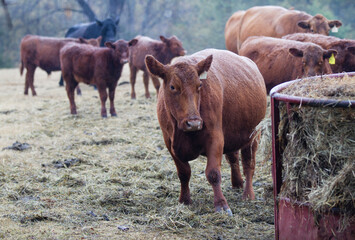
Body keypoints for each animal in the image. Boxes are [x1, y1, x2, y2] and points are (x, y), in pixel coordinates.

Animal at [145, 49, 268, 216]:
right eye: (172, 87)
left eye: (199, 86)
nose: (194, 123)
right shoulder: (169, 143)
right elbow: (183, 173)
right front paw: (184, 200)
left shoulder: (215, 138)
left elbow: (213, 173)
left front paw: (221, 205)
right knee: (233, 158)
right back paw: (237, 182)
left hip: (254, 136)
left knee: (249, 163)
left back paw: (248, 194)